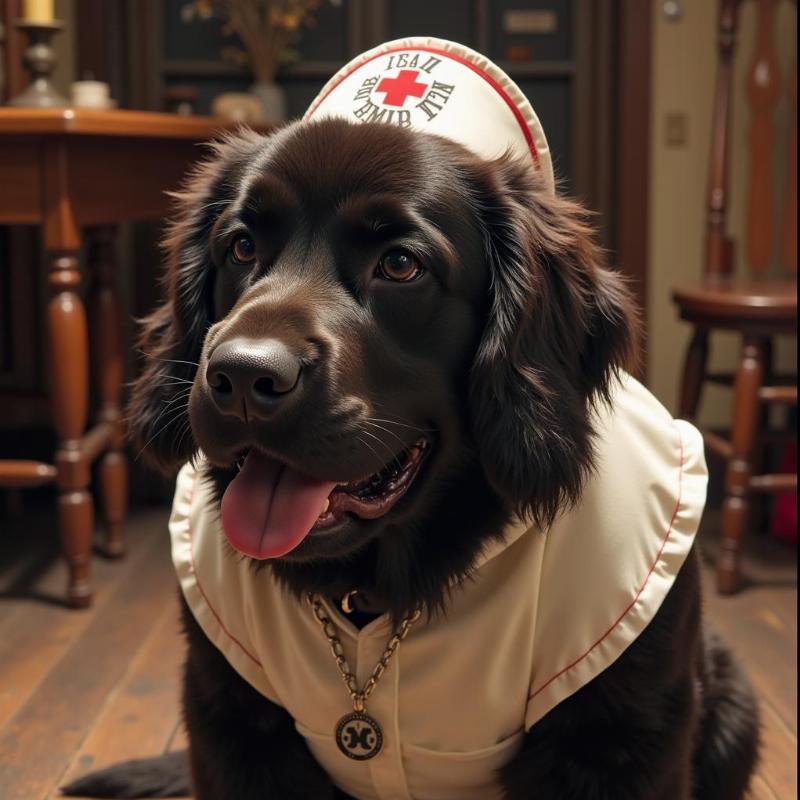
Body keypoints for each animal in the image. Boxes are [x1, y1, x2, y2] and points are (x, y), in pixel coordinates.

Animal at [65, 120, 760, 800]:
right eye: (239, 247)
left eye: (400, 264)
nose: (240, 377)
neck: (376, 588)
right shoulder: (231, 719)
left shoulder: (621, 736)